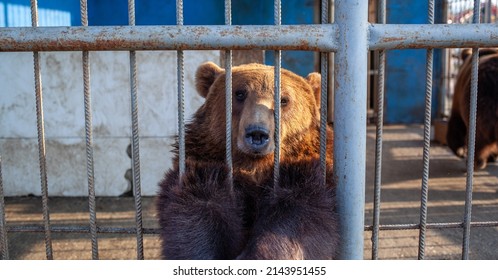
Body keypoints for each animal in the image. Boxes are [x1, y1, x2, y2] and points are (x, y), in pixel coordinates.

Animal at [158, 61, 340, 260]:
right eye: (239, 93)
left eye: (284, 100)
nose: (257, 133)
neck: (254, 167)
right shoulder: (205, 168)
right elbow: (196, 218)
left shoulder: (303, 175)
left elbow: (298, 220)